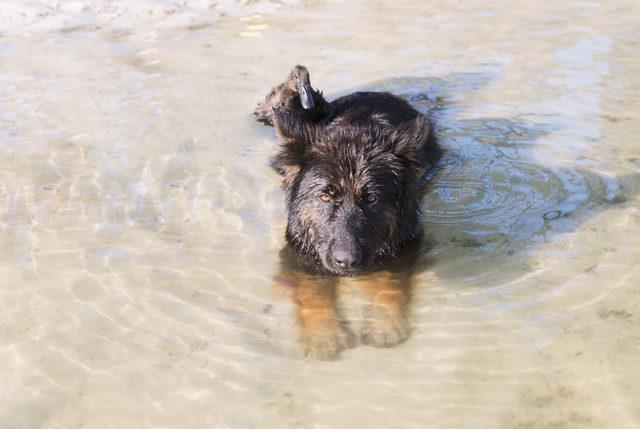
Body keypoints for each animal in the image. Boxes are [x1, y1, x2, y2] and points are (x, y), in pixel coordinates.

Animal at [254, 64, 440, 358]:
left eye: (372, 199)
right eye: (325, 196)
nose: (347, 261)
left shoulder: (405, 249)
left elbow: (391, 281)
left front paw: (383, 322)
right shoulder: (300, 256)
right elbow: (312, 290)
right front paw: (323, 333)